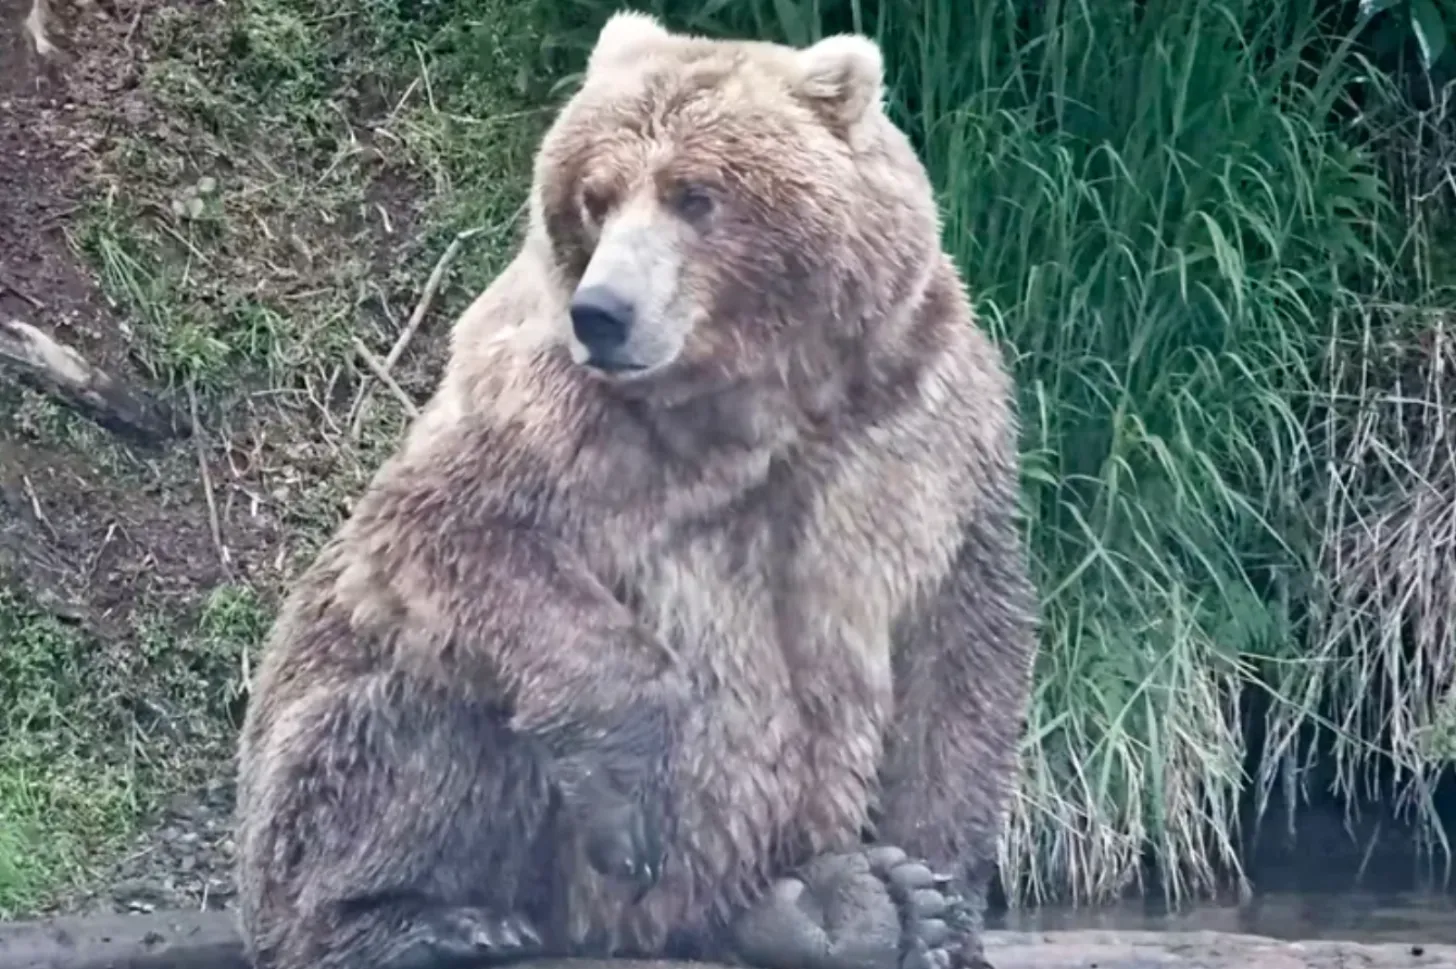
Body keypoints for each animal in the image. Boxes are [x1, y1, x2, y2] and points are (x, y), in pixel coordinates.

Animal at [233, 11, 1038, 969]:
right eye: (597, 194)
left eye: (695, 194)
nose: (604, 311)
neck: (762, 396)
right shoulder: (553, 404)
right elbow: (450, 527)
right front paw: (632, 800)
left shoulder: (923, 419)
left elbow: (960, 640)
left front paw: (940, 898)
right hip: (325, 791)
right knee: (420, 710)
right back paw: (431, 921)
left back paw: (840, 907)